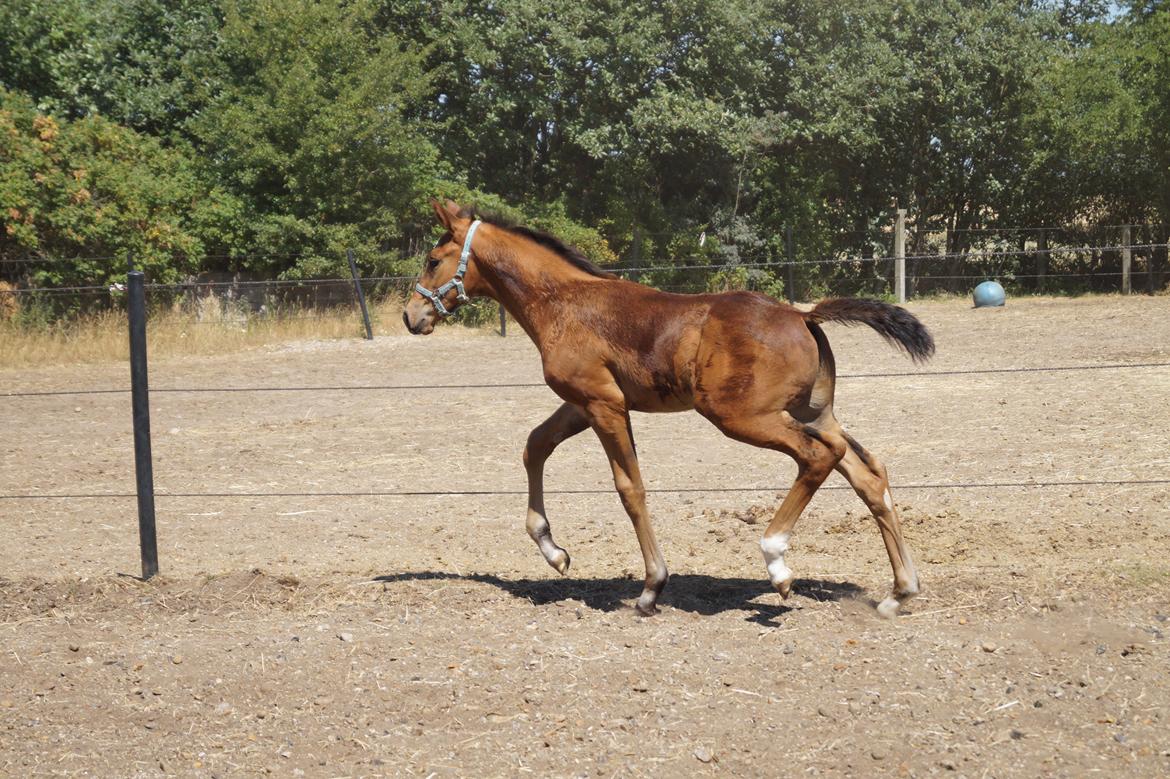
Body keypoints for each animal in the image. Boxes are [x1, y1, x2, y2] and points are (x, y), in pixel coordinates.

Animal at [407, 200, 935, 612]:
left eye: (433, 259)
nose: (413, 316)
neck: (565, 303)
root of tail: (802, 315)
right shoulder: (583, 403)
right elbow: (535, 446)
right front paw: (554, 551)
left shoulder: (603, 404)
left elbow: (630, 488)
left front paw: (651, 588)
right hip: (815, 413)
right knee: (868, 473)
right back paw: (898, 592)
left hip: (742, 416)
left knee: (817, 457)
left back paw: (777, 562)